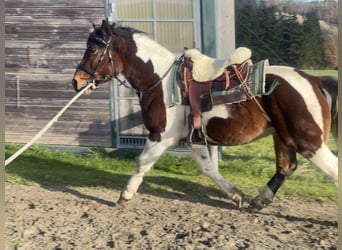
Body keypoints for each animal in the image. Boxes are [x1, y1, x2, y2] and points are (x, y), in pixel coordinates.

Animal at [71, 20, 336, 211]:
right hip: (283, 138)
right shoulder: (194, 139)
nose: (76, 81)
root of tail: (314, 80)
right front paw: (236, 195)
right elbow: (208, 168)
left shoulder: (160, 136)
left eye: (92, 49)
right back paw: (257, 202)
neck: (161, 80)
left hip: (308, 141)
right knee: (285, 168)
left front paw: (125, 195)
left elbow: (142, 163)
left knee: (332, 170)